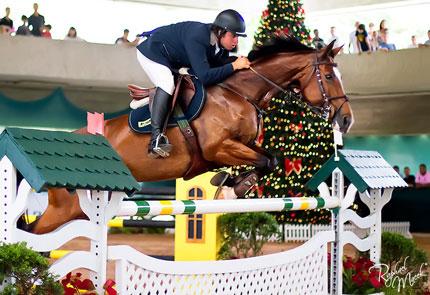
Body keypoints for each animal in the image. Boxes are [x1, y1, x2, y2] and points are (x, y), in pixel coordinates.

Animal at [28, 37, 354, 235]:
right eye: (328, 77)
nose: (347, 120)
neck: (240, 94)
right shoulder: (217, 148)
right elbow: (265, 161)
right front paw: (231, 188)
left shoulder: (243, 145)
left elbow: (270, 159)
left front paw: (230, 183)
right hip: (66, 209)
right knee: (33, 235)